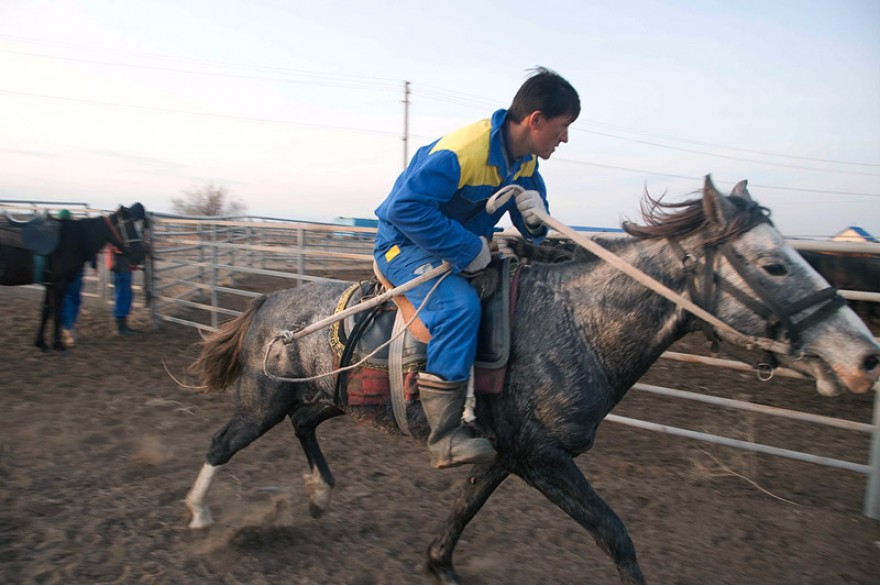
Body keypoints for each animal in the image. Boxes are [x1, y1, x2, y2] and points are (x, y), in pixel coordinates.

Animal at [0, 205, 146, 352]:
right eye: (130, 227)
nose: (140, 254)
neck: (74, 239)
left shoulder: (50, 284)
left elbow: (46, 311)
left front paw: (41, 343)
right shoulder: (60, 284)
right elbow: (58, 314)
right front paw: (58, 344)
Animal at [182, 178, 876, 584]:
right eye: (774, 264)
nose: (864, 356)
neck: (576, 321)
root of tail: (267, 305)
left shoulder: (507, 454)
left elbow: (462, 512)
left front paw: (438, 564)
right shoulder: (542, 458)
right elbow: (616, 537)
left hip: (329, 398)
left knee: (304, 425)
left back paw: (321, 493)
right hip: (262, 401)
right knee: (219, 444)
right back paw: (199, 513)